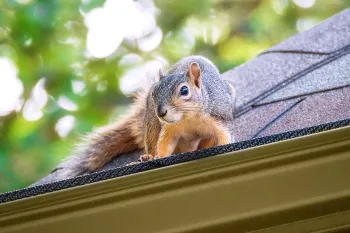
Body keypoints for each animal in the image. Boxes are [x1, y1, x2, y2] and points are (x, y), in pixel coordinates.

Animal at [52, 56, 237, 180]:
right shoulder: (169, 129)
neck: (188, 117)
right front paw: (158, 158)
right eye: (154, 92)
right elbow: (164, 144)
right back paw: (147, 156)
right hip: (151, 125)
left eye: (184, 90)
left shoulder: (218, 119)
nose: (161, 112)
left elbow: (225, 136)